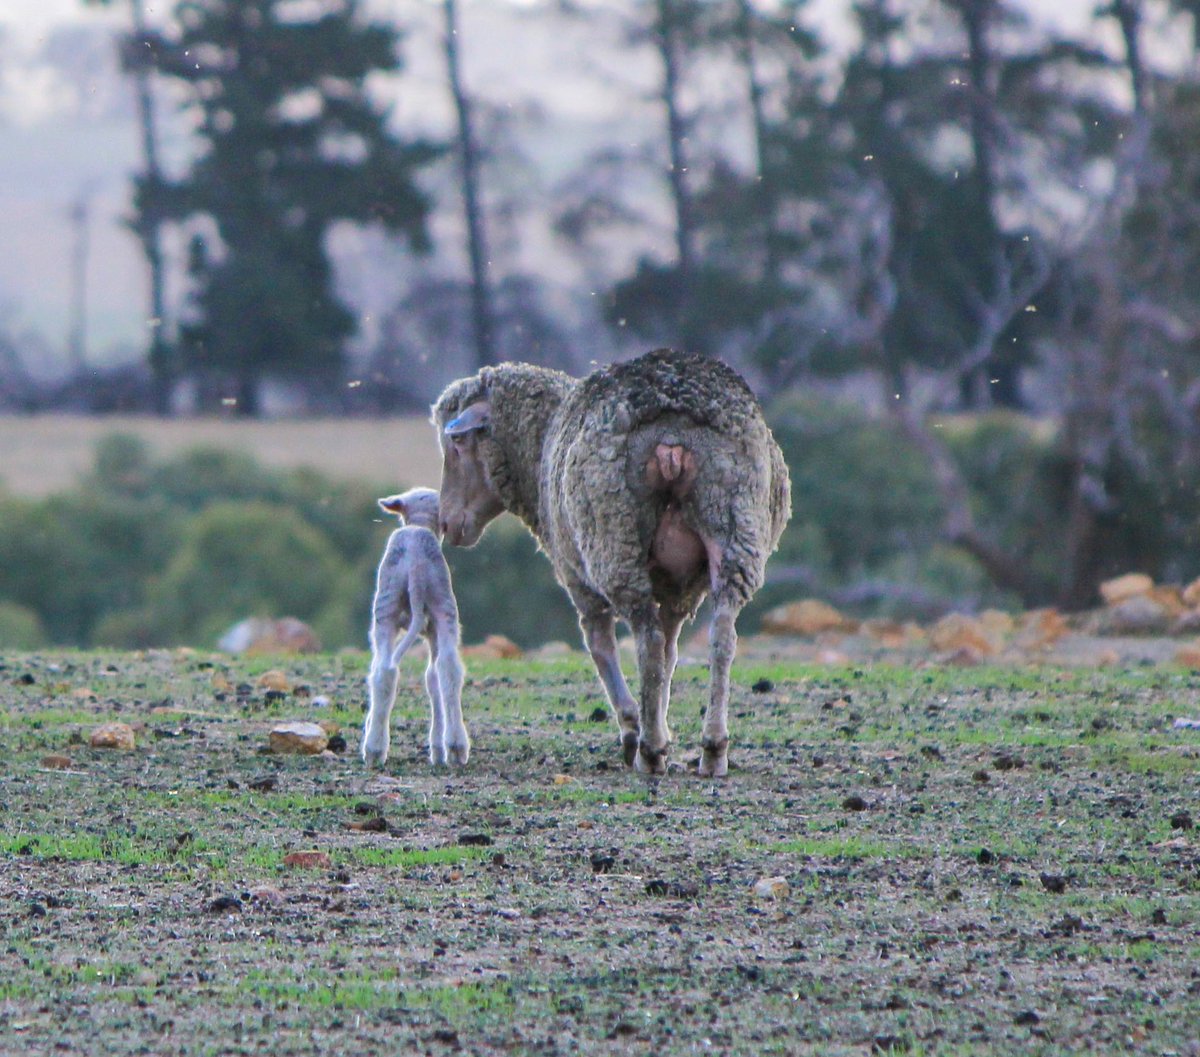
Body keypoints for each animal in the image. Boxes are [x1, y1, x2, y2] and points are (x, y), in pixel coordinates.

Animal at [357, 487, 465, 767]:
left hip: (387, 608)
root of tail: (416, 564)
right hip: (440, 604)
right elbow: (432, 678)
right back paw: (454, 747)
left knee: (384, 671)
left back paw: (374, 749)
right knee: (445, 668)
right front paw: (437, 749)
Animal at [429, 345, 787, 777]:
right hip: (734, 525)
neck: (540, 447)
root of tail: (673, 437)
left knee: (644, 641)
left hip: (613, 540)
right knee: (720, 637)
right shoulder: (677, 589)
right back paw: (713, 748)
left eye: (456, 445)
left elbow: (602, 647)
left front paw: (637, 729)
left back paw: (648, 751)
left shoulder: (577, 578)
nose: (446, 523)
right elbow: (669, 657)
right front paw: (659, 722)